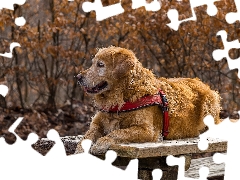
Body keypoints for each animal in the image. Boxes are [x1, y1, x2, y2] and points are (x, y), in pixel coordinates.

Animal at [75, 46, 221, 155]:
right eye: (92, 63)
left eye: (100, 65)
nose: (78, 77)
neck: (121, 98)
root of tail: (202, 82)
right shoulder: (97, 123)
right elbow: (87, 136)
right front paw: (80, 150)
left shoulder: (147, 131)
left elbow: (118, 132)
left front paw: (101, 142)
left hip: (209, 104)